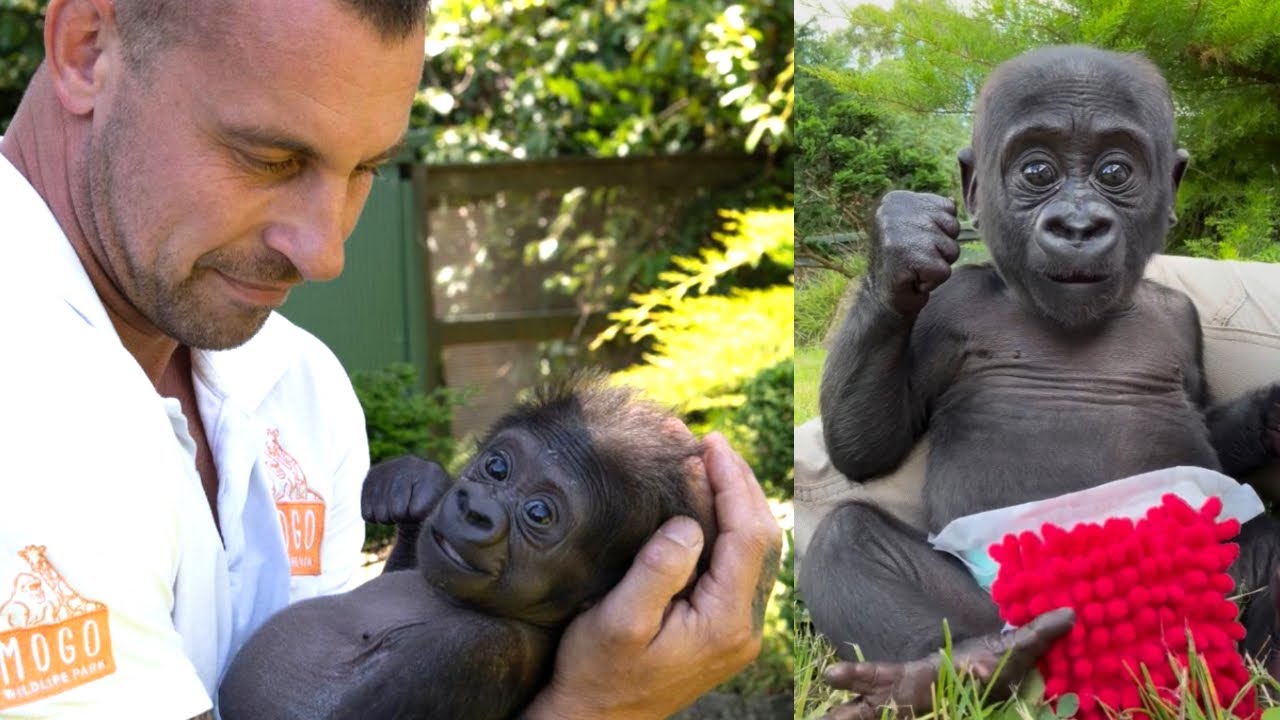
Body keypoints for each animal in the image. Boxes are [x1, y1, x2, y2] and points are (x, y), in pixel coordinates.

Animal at [799, 45, 1280, 718]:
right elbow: (866, 447)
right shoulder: (947, 311)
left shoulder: (1182, 319)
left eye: (1114, 172)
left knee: (1270, 552)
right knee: (849, 538)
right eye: (1036, 171)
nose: (1077, 226)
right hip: (1000, 607)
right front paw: (899, 250)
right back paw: (950, 669)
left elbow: (1207, 423)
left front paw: (1270, 417)